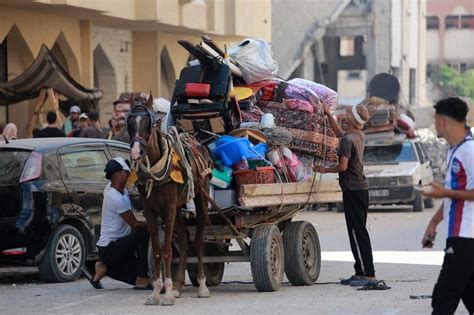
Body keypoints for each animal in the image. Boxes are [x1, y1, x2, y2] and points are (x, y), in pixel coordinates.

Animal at [128, 94, 213, 306]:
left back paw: (202, 285)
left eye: (150, 123)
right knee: (184, 239)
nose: (136, 152)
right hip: (179, 208)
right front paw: (157, 292)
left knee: (198, 240)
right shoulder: (151, 212)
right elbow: (158, 251)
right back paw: (178, 286)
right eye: (130, 123)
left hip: (200, 197)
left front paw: (165, 295)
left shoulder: (168, 208)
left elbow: (167, 250)